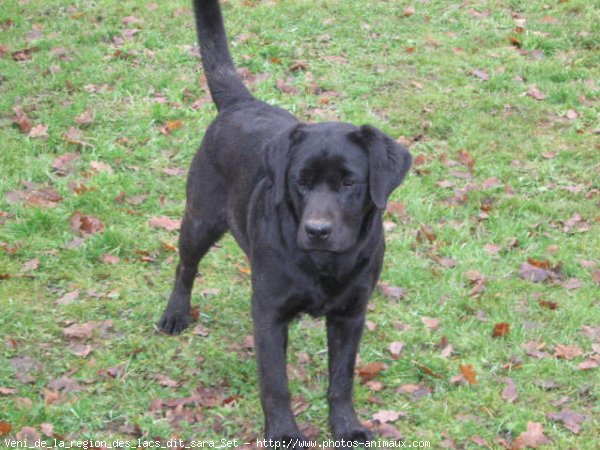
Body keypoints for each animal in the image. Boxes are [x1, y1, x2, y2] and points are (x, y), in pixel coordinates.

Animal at [159, 0, 412, 442]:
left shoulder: (351, 314)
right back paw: (176, 313)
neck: (324, 264)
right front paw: (283, 432)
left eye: (349, 182)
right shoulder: (269, 314)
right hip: (200, 219)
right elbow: (275, 383)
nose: (317, 230)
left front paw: (346, 426)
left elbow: (342, 380)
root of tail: (240, 103)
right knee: (185, 266)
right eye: (300, 182)